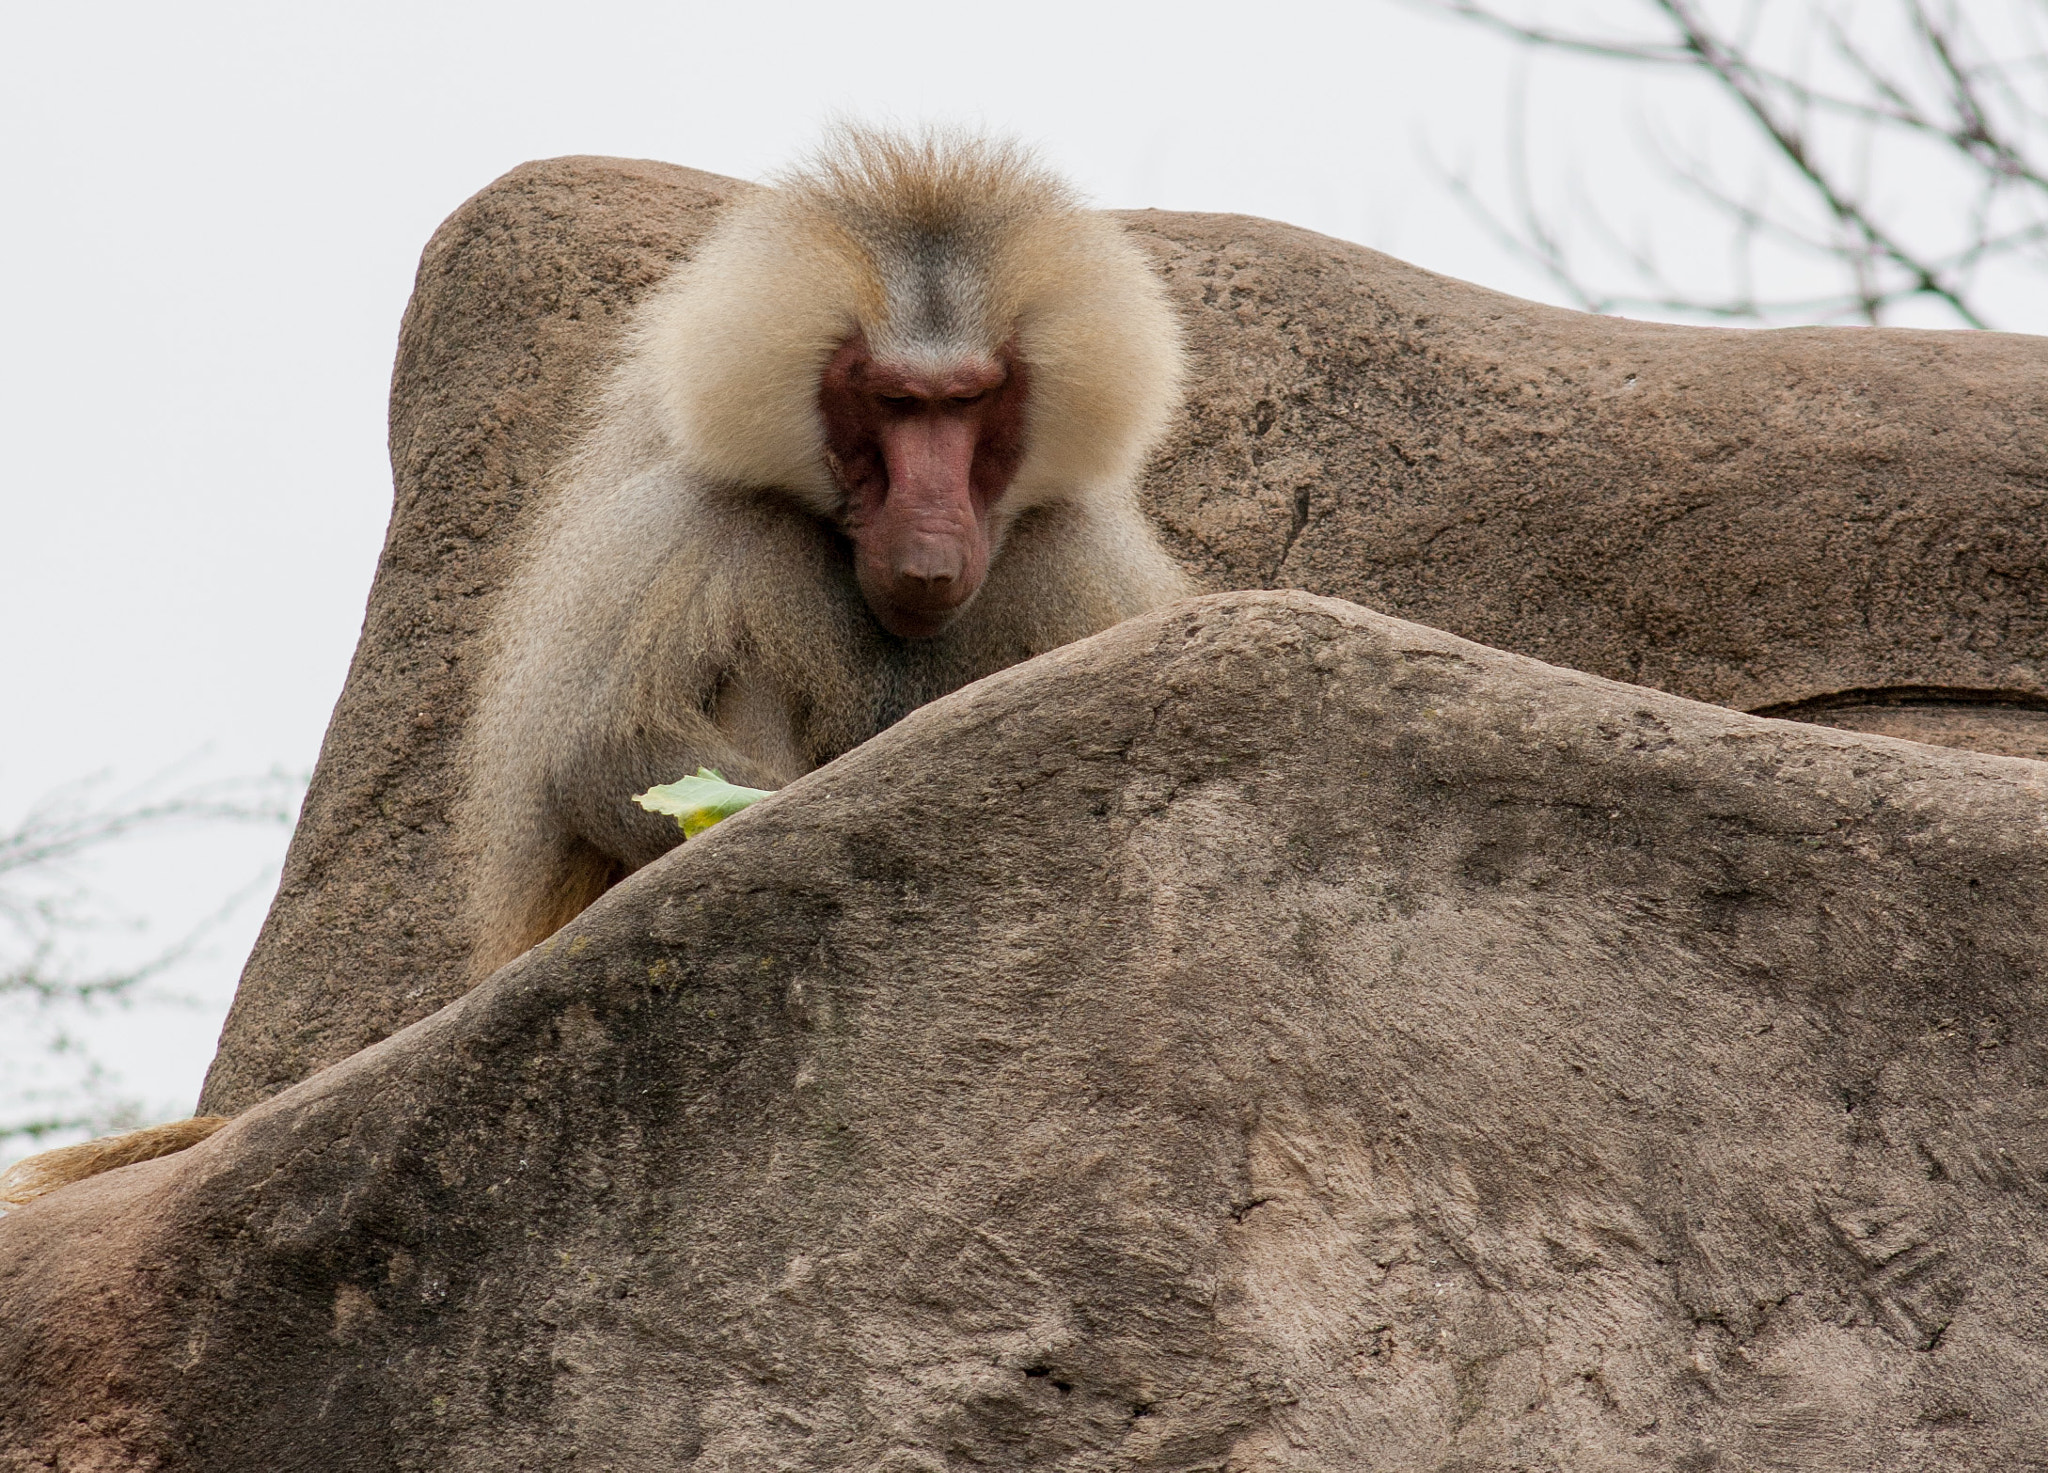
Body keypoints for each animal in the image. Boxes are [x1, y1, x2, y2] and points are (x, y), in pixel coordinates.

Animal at [458, 126, 1192, 978]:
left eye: (967, 400)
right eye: (894, 401)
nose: (931, 555)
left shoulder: (1082, 558)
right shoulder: (687, 518)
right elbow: (608, 752)